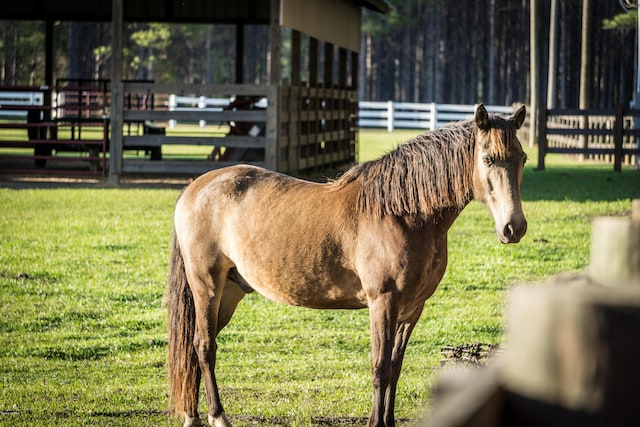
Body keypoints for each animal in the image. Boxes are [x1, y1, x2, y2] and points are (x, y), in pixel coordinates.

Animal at [168, 104, 528, 427]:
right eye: (487, 159)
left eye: (521, 158)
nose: (514, 228)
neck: (403, 213)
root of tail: (195, 188)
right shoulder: (383, 303)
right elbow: (380, 367)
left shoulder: (412, 309)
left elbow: (395, 368)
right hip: (206, 286)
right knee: (204, 346)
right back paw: (217, 416)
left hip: (230, 291)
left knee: (198, 346)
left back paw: (192, 415)